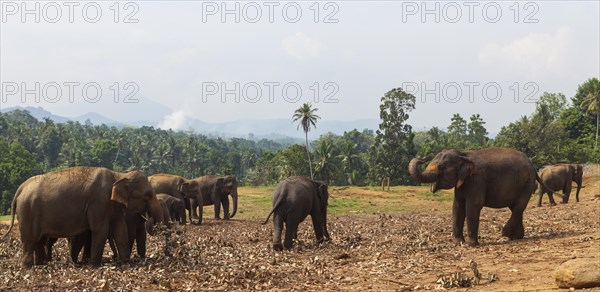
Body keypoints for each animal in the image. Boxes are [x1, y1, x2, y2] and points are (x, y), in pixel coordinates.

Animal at [0, 167, 164, 266]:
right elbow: (100, 230)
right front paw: (95, 264)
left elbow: (120, 229)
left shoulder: (112, 207)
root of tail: (20, 188)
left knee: (38, 240)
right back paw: (28, 267)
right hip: (27, 211)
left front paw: (125, 261)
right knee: (30, 240)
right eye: (147, 195)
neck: (119, 175)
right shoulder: (98, 202)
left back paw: (41, 264)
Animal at [408, 147, 552, 245]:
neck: (463, 154)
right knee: (516, 208)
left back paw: (505, 234)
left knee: (518, 206)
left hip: (527, 184)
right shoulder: (462, 183)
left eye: (441, 167)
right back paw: (516, 237)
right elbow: (457, 206)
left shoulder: (477, 180)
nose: (423, 157)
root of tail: (533, 166)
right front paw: (459, 242)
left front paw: (471, 245)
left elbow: (473, 205)